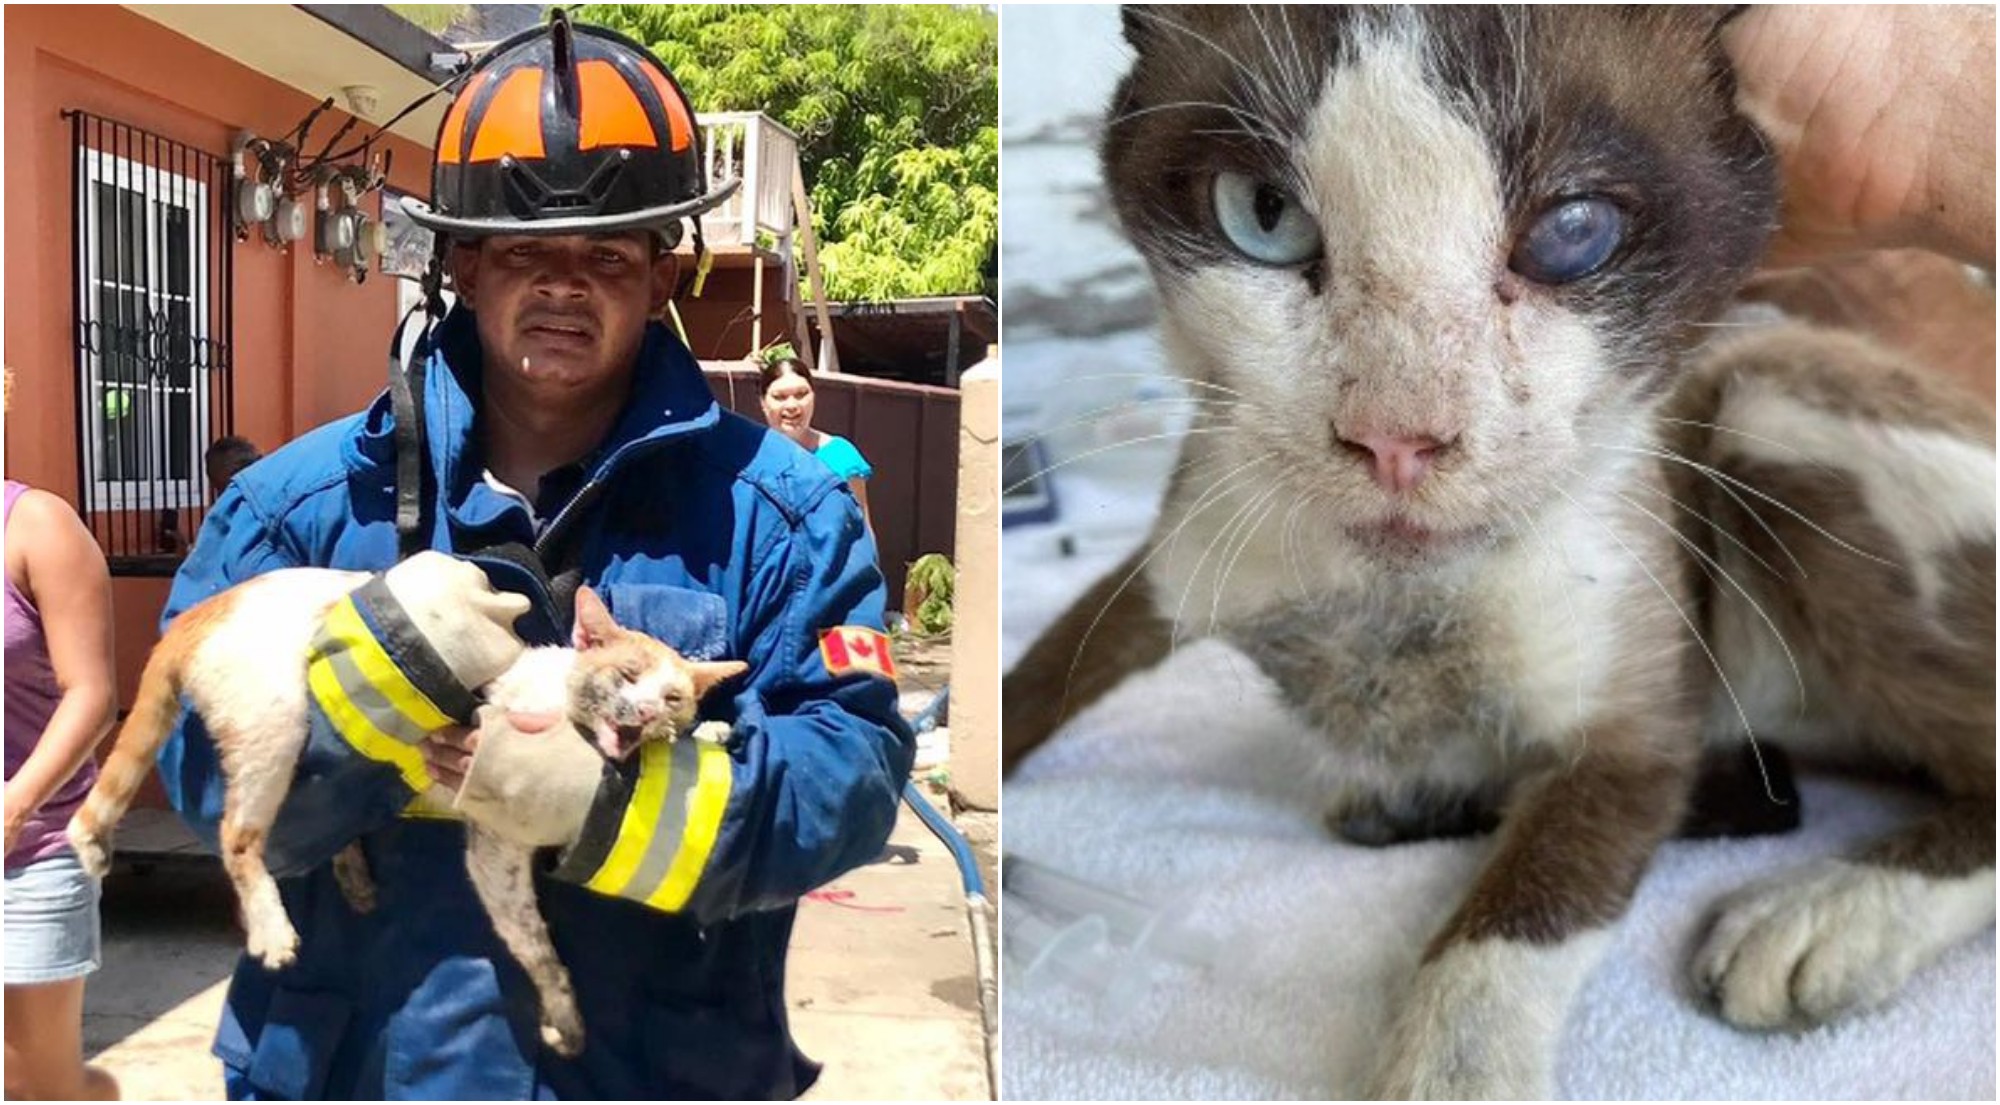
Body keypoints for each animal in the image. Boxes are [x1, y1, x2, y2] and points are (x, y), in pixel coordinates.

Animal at [68, 556, 752, 1056]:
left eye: (672, 697)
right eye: (625, 674)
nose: (644, 712)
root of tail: (202, 611)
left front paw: (711, 733)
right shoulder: (493, 852)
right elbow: (536, 946)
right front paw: (563, 1016)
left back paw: (354, 875)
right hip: (277, 720)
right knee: (239, 837)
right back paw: (271, 928)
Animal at [1008, 6, 1992, 1096]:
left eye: (1571, 235)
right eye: (1261, 218)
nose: (1395, 438)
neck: (1391, 603)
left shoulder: (1634, 718)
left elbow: (1521, 917)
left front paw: (1452, 1061)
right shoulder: (1179, 554)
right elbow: (1033, 679)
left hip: (1762, 399)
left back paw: (1823, 915)